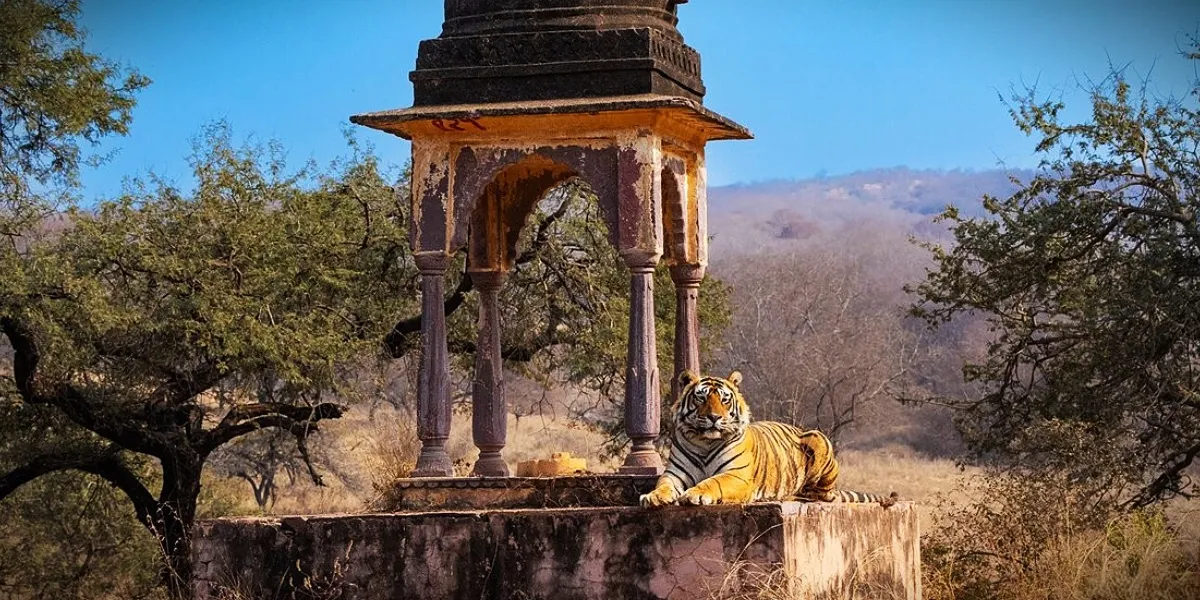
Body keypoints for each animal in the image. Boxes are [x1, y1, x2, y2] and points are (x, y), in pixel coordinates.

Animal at [639, 370, 898, 508]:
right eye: (701, 398)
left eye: (724, 399)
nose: (714, 417)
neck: (705, 442)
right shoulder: (673, 474)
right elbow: (663, 484)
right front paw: (652, 497)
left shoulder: (737, 475)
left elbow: (714, 482)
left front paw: (695, 494)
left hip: (818, 439)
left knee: (821, 495)